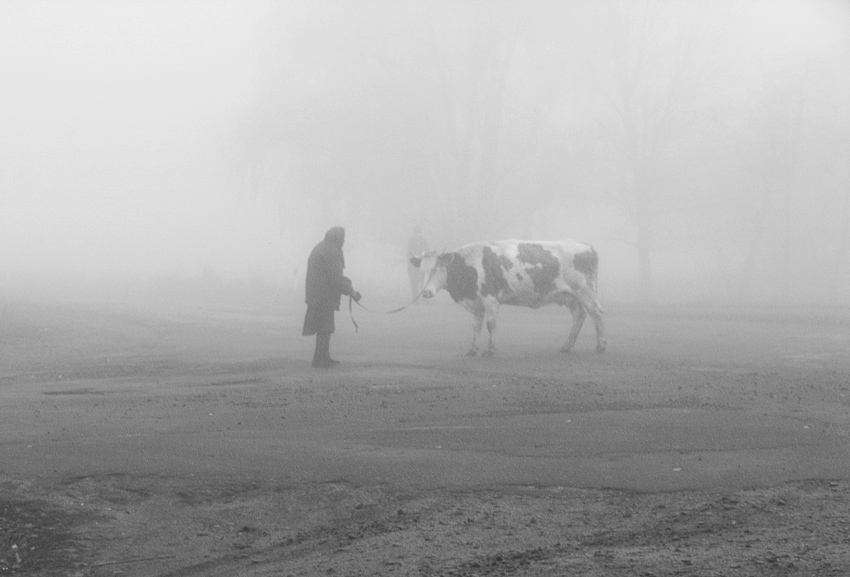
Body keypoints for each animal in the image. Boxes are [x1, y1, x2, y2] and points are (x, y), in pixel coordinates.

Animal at [410, 238, 604, 356]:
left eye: (437, 269)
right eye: (422, 270)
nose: (426, 292)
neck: (469, 266)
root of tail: (586, 246)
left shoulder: (490, 300)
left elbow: (490, 324)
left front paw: (490, 350)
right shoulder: (476, 303)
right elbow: (476, 326)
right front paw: (473, 349)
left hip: (586, 291)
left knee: (597, 314)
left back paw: (600, 346)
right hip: (570, 296)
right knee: (579, 315)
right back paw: (567, 345)